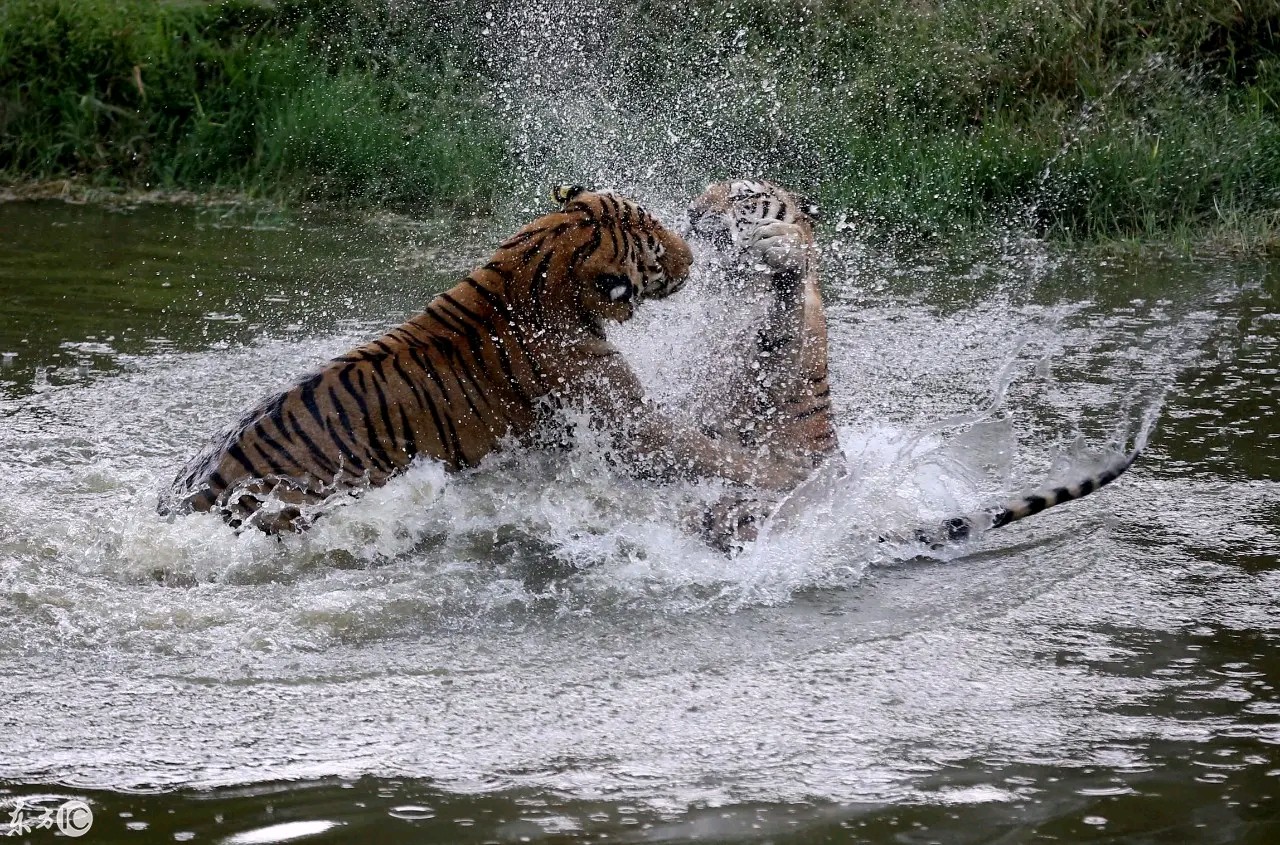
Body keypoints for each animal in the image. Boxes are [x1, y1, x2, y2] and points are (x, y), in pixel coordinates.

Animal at [161, 186, 808, 533]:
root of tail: (190, 497)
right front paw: (791, 474)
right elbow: (707, 452)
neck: (534, 266)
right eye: (654, 246)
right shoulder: (627, 422)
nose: (693, 255)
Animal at [685, 178, 1144, 553]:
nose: (691, 212)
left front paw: (782, 252)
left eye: (742, 196)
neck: (731, 285)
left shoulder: (775, 370)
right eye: (705, 192)